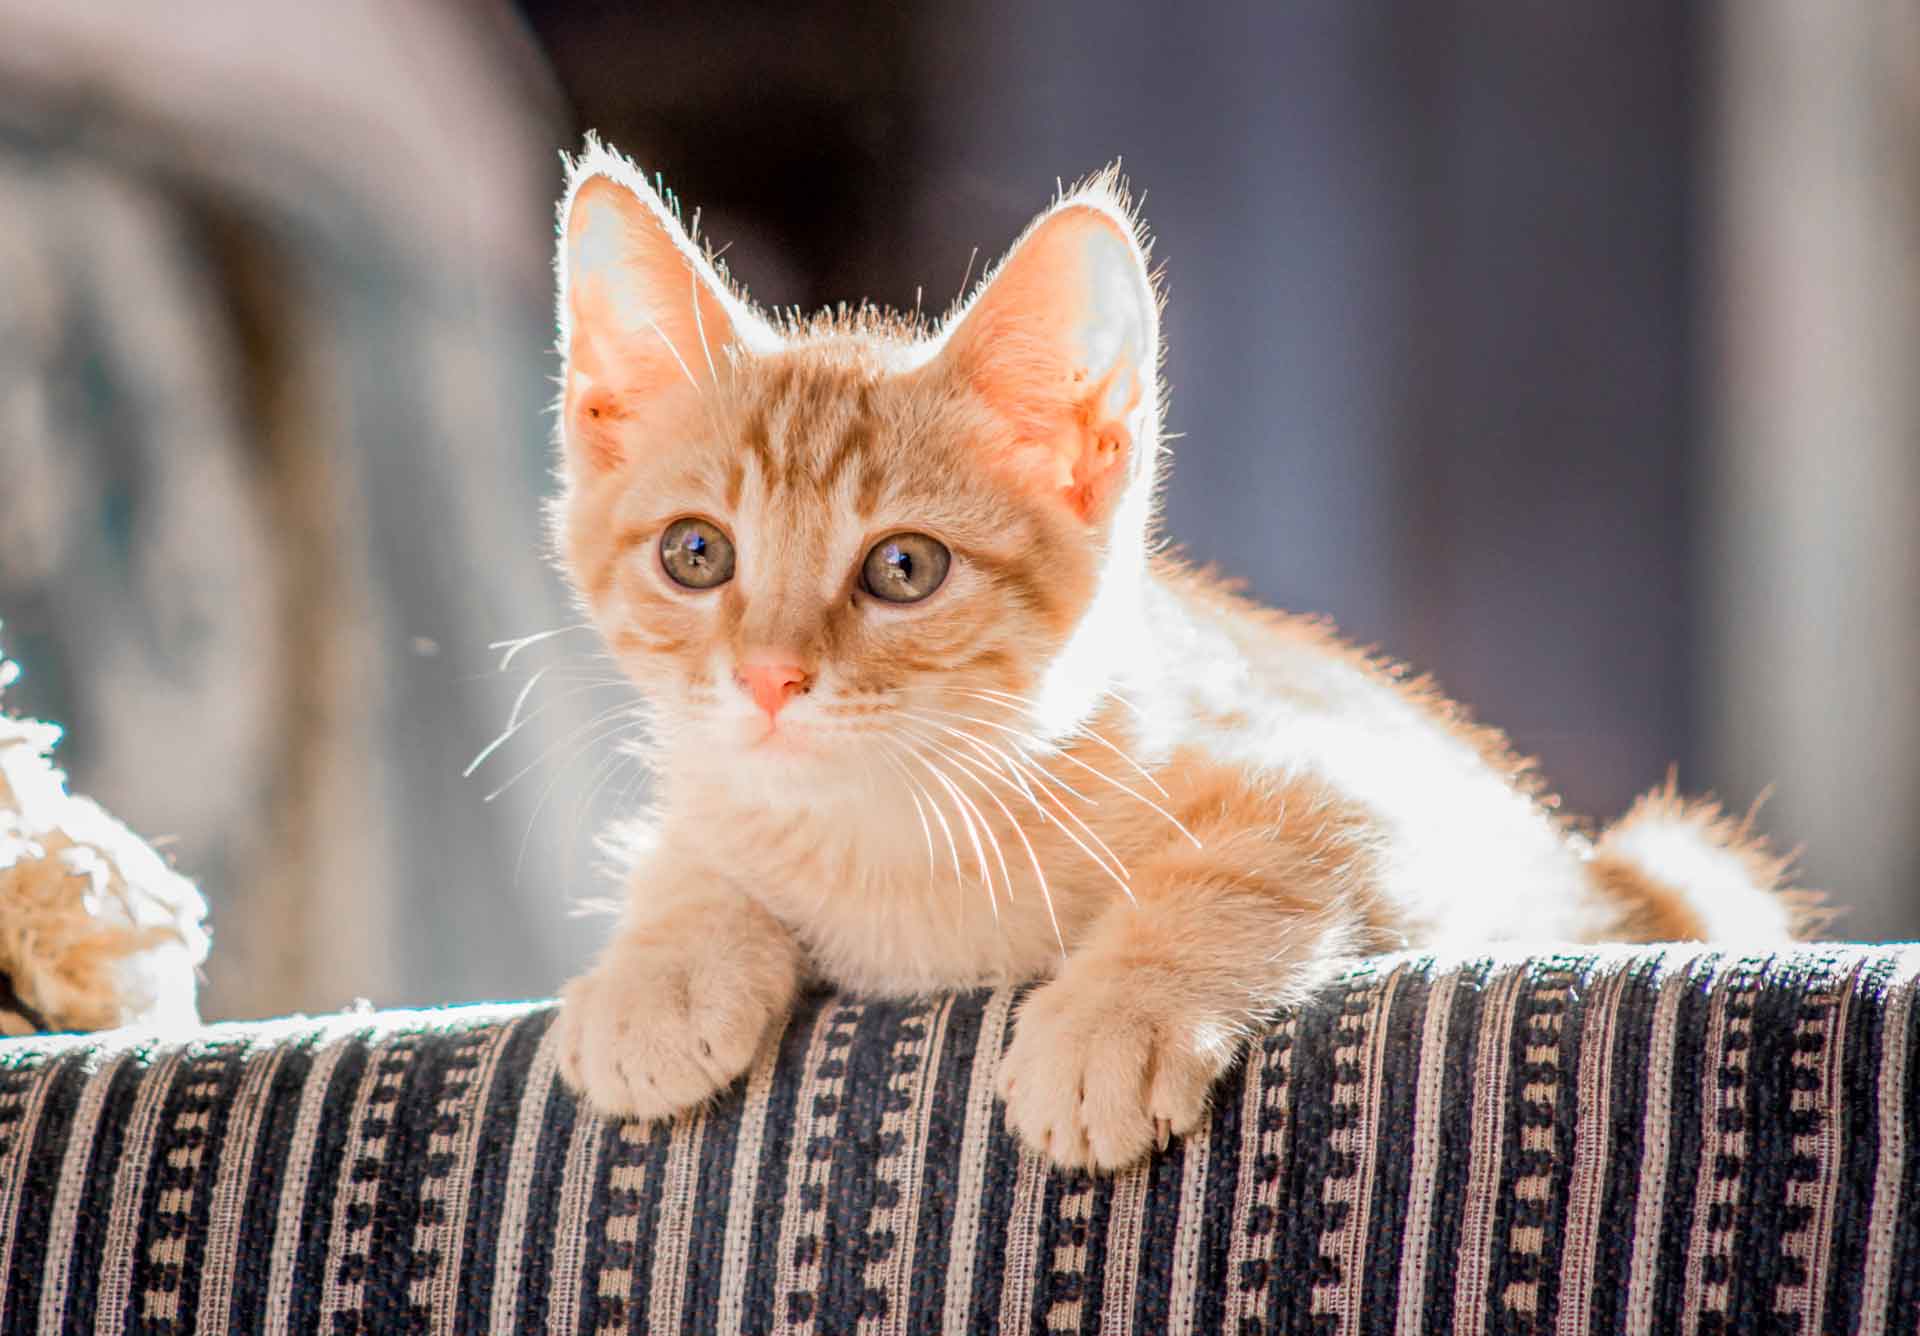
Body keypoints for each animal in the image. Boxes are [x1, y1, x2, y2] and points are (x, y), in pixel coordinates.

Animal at [545, 138, 1812, 1167]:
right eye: (696, 553)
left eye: (904, 568)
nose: (768, 677)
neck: (889, 835)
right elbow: (690, 846)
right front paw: (661, 969)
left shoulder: (1403, 810)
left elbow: (1251, 859)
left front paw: (1117, 1016)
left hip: (1673, 864)